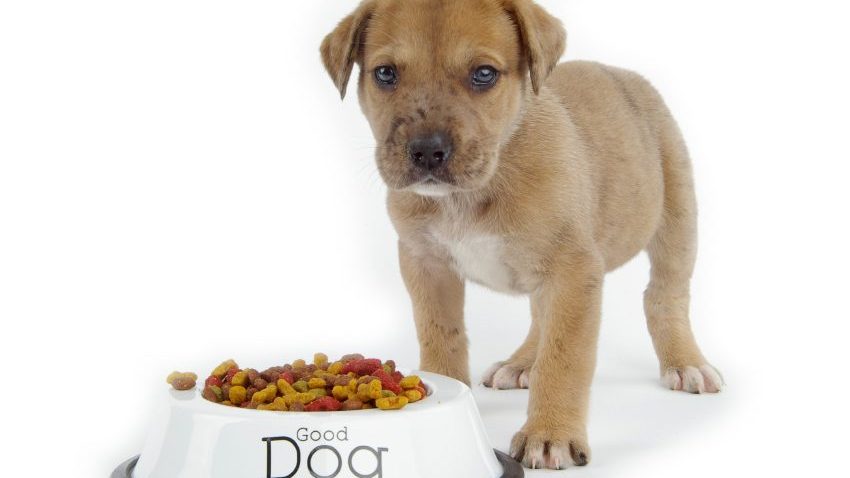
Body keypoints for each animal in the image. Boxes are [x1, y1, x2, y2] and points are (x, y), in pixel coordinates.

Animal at [322, 0, 720, 470]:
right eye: (385, 74)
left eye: (484, 74)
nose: (427, 151)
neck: (471, 193)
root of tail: (620, 72)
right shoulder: (426, 263)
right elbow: (441, 336)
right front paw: (443, 395)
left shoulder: (574, 272)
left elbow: (563, 359)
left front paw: (550, 434)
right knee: (539, 315)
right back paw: (523, 361)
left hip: (677, 216)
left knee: (664, 296)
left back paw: (685, 362)